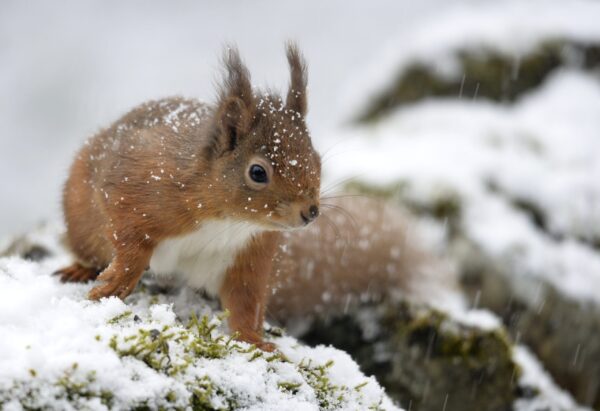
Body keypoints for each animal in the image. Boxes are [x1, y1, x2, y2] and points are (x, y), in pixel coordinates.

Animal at [54, 44, 322, 350]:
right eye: (257, 172)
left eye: (317, 159)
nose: (310, 211)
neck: (227, 219)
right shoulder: (134, 192)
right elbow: (130, 243)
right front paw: (117, 282)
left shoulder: (249, 252)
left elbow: (245, 299)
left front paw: (254, 340)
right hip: (81, 221)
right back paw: (80, 269)